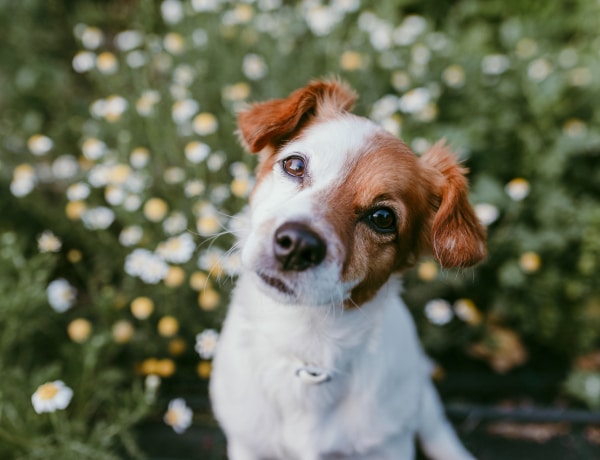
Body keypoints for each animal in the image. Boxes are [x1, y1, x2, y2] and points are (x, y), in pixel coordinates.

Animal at [209, 80, 486, 460]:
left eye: (382, 217)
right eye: (294, 165)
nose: (297, 244)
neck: (308, 345)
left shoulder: (390, 445)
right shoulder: (248, 443)